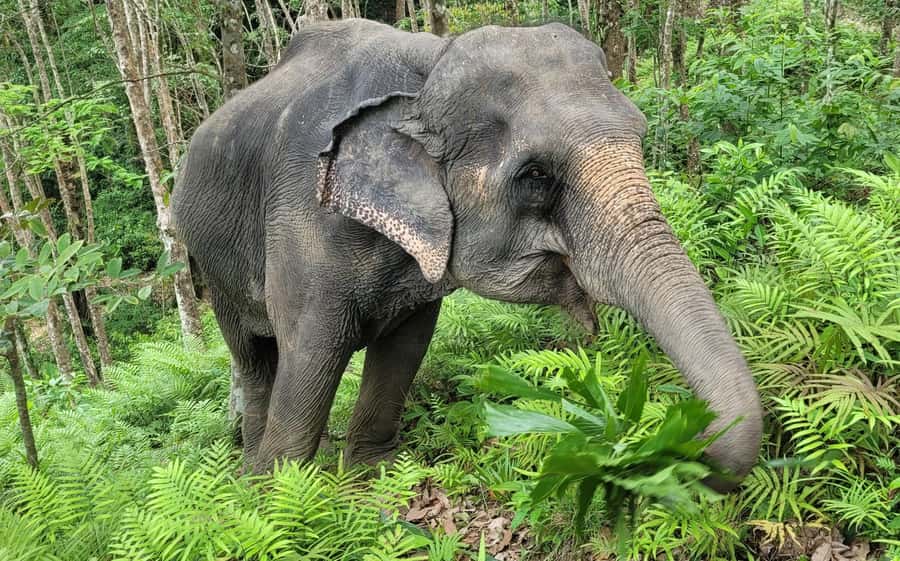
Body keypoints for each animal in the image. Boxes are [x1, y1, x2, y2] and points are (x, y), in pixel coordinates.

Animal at [172, 19, 763, 489]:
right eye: (535, 175)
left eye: (639, 138)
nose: (691, 445)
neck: (430, 64)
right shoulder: (303, 218)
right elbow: (311, 354)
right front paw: (281, 499)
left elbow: (405, 347)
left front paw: (374, 476)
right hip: (208, 259)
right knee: (256, 359)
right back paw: (247, 475)